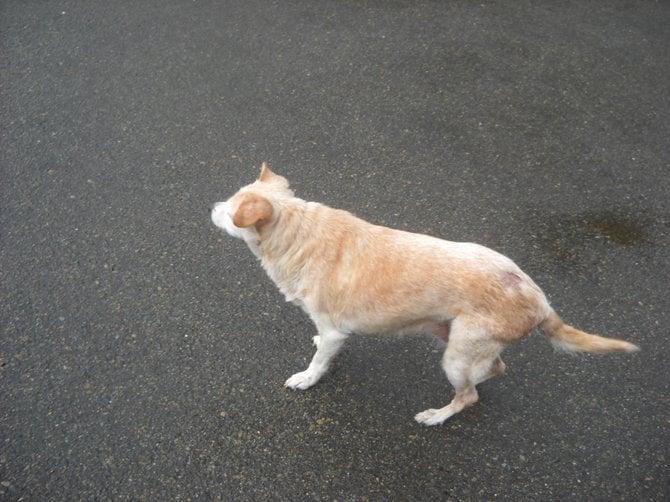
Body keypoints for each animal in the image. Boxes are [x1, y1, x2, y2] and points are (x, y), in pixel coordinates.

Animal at [210, 163, 640, 426]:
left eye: (230, 210)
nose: (210, 205)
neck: (298, 231)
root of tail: (538, 297)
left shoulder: (334, 330)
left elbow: (318, 363)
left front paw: (306, 378)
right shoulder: (333, 332)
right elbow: (323, 348)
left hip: (457, 354)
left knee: (468, 396)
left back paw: (438, 415)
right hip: (454, 338)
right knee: (493, 370)